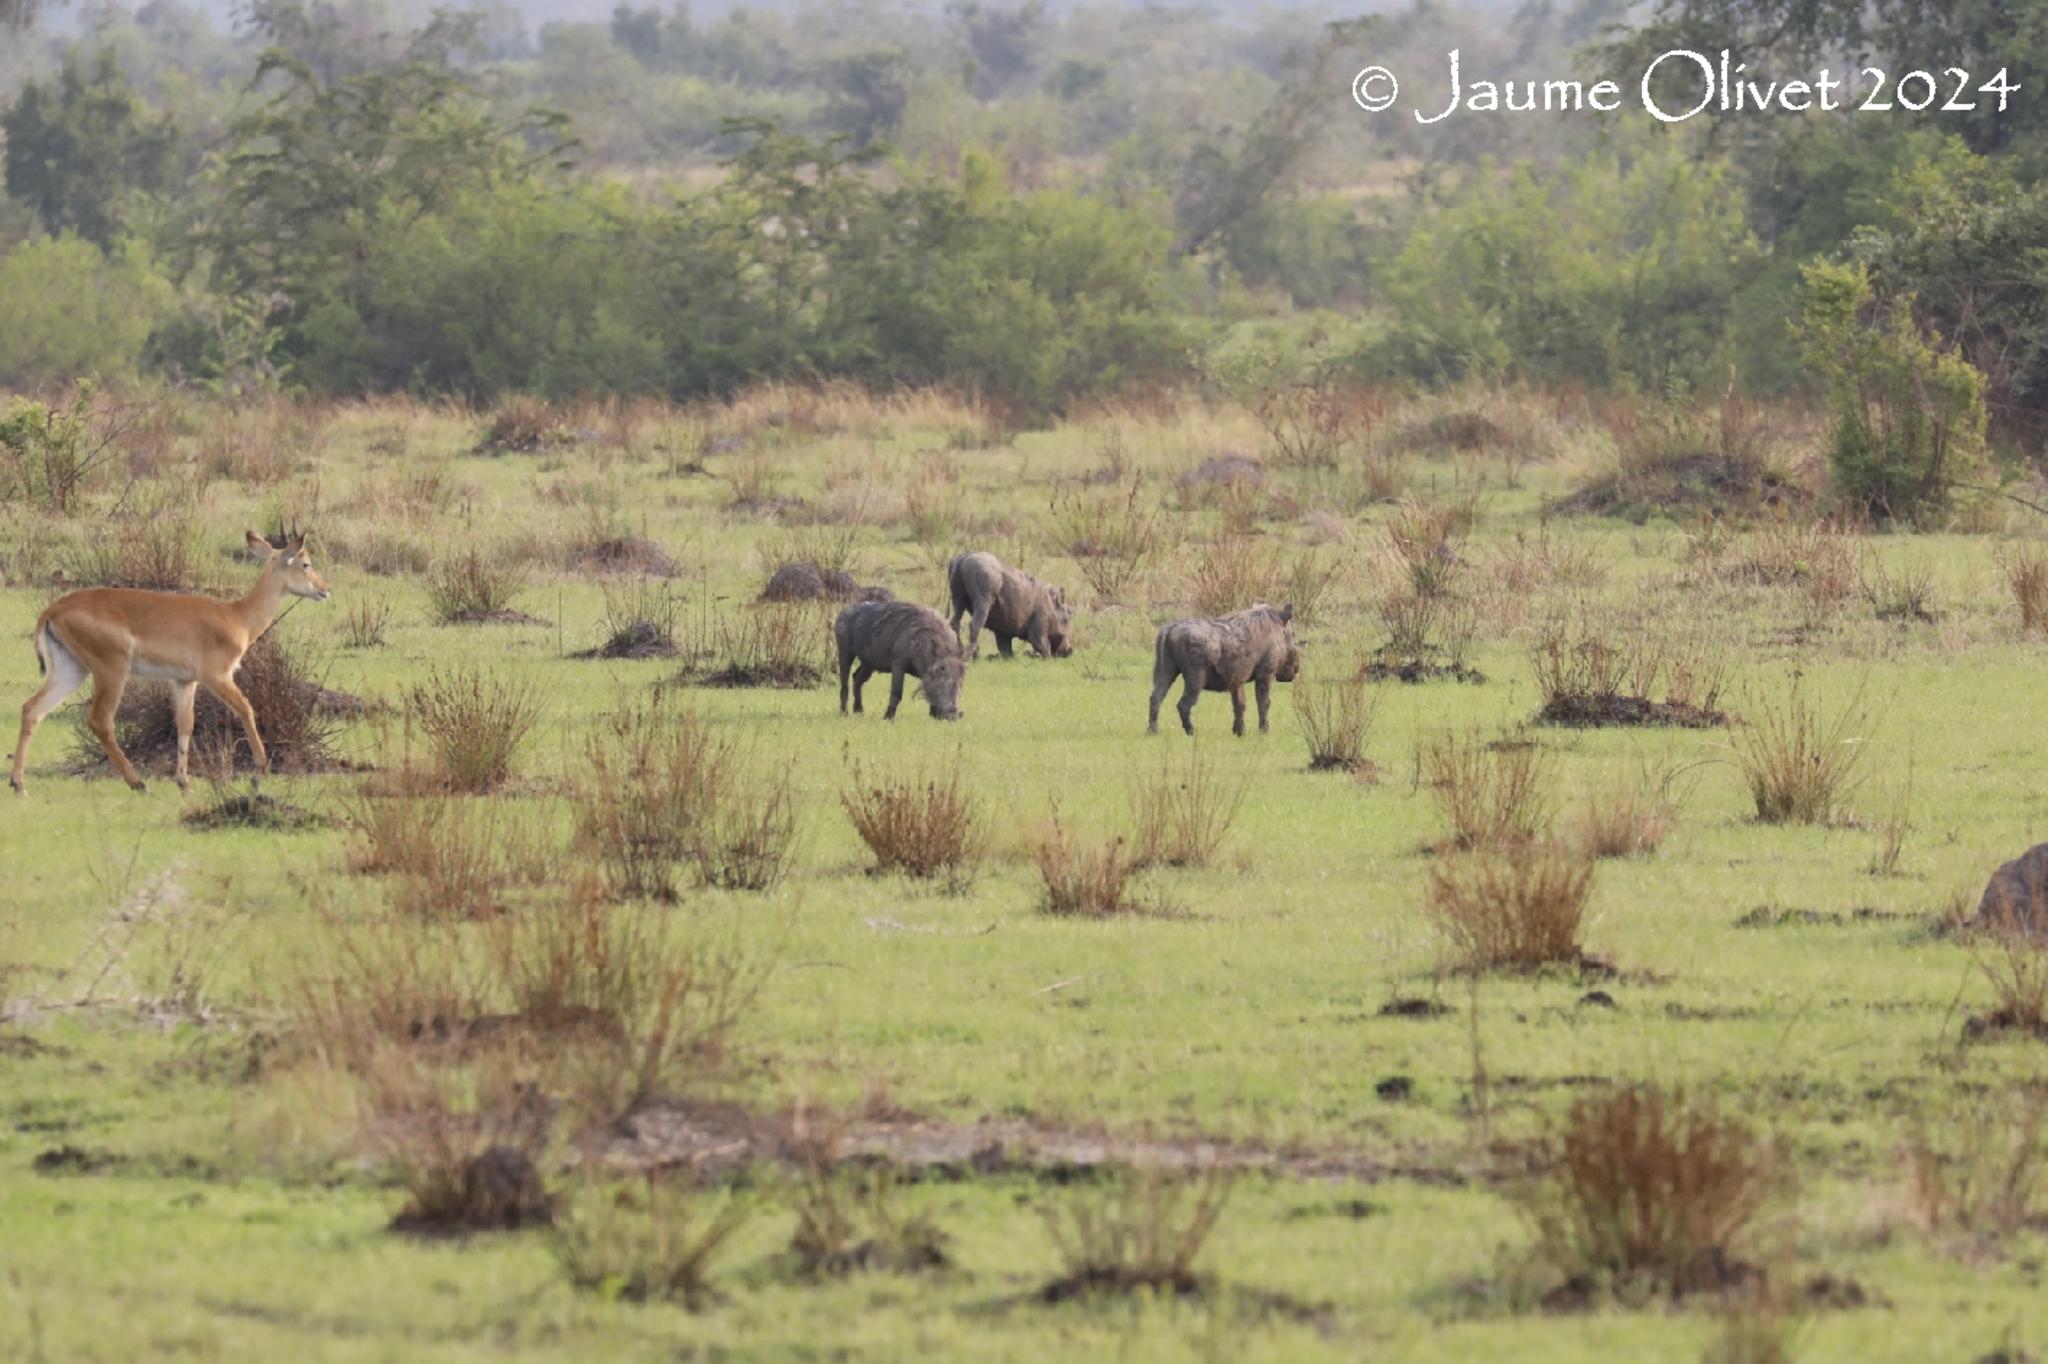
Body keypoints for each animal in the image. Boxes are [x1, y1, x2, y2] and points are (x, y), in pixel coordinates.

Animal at [12, 524, 331, 790]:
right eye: (305, 562)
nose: (325, 590)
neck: (237, 616)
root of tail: (53, 610)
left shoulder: (184, 681)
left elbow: (185, 723)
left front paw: (184, 781)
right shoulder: (217, 677)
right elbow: (246, 709)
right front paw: (259, 772)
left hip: (71, 670)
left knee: (32, 709)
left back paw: (18, 784)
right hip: (111, 671)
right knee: (100, 720)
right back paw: (137, 783)